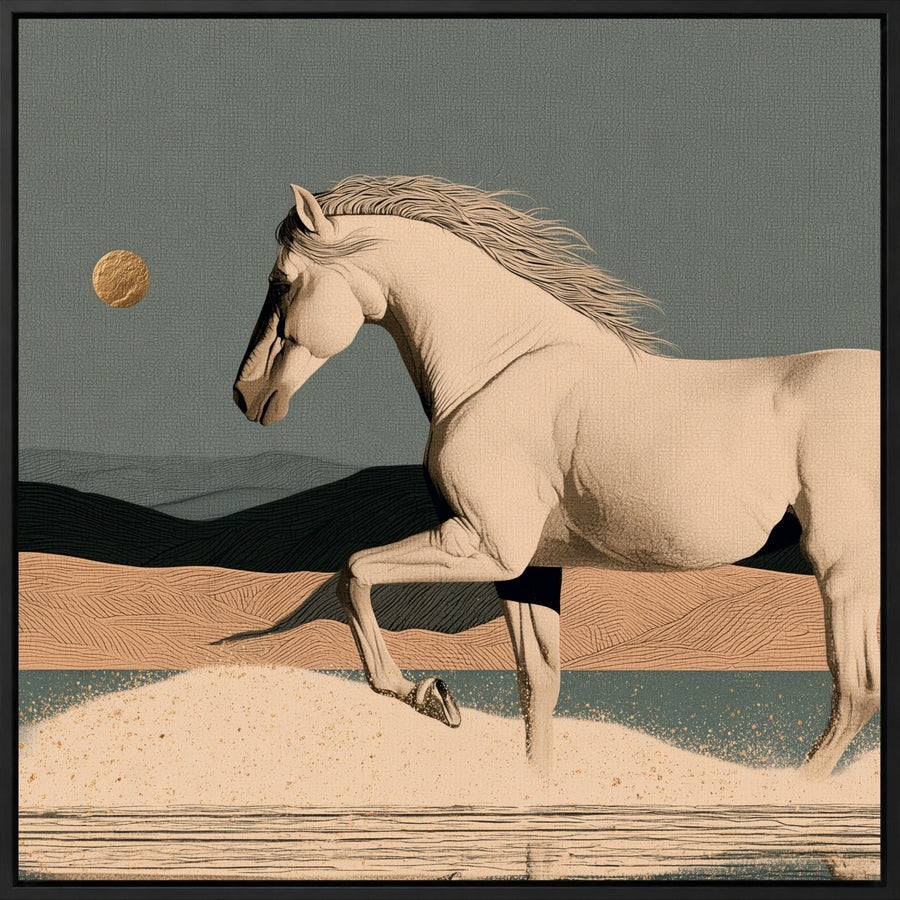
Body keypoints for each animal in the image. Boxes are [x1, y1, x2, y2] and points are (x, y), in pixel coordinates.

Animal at [232, 175, 880, 780]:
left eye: (281, 281)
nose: (247, 395)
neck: (498, 366)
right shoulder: (526, 570)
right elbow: (537, 686)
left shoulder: (484, 547)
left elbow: (353, 574)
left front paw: (432, 698)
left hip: (842, 570)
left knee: (855, 691)